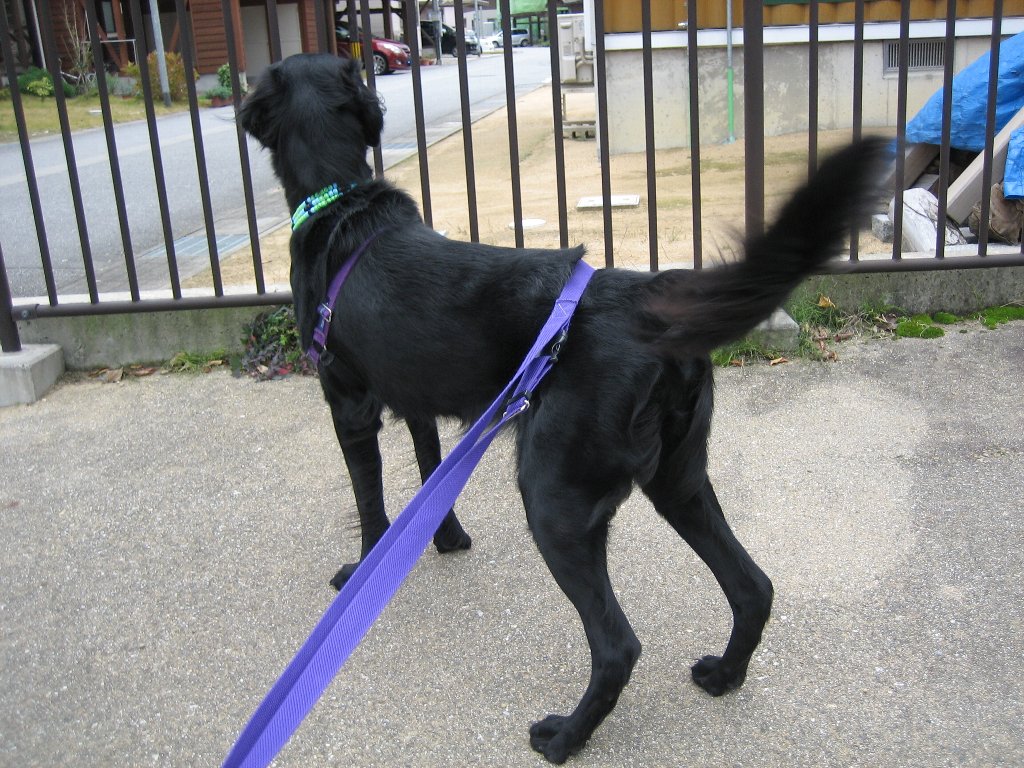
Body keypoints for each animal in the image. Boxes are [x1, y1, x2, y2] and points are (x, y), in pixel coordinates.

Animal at [239, 53, 885, 764]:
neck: (340, 198)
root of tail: (652, 307)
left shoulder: (349, 402)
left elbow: (369, 497)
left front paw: (363, 570)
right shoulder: (418, 400)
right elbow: (431, 476)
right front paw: (444, 539)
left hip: (554, 499)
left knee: (618, 646)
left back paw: (564, 738)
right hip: (679, 479)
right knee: (753, 586)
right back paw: (723, 674)